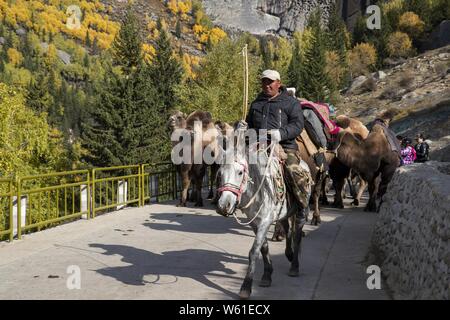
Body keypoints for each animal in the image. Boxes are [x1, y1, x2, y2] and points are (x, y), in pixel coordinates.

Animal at [216, 129, 312, 298]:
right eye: (220, 173)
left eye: (240, 172)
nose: (223, 205)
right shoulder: (255, 223)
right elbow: (264, 247)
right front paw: (267, 275)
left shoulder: (265, 221)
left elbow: (254, 251)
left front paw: (246, 287)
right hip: (284, 212)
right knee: (287, 228)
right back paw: (289, 253)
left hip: (302, 210)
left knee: (297, 234)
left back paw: (294, 266)